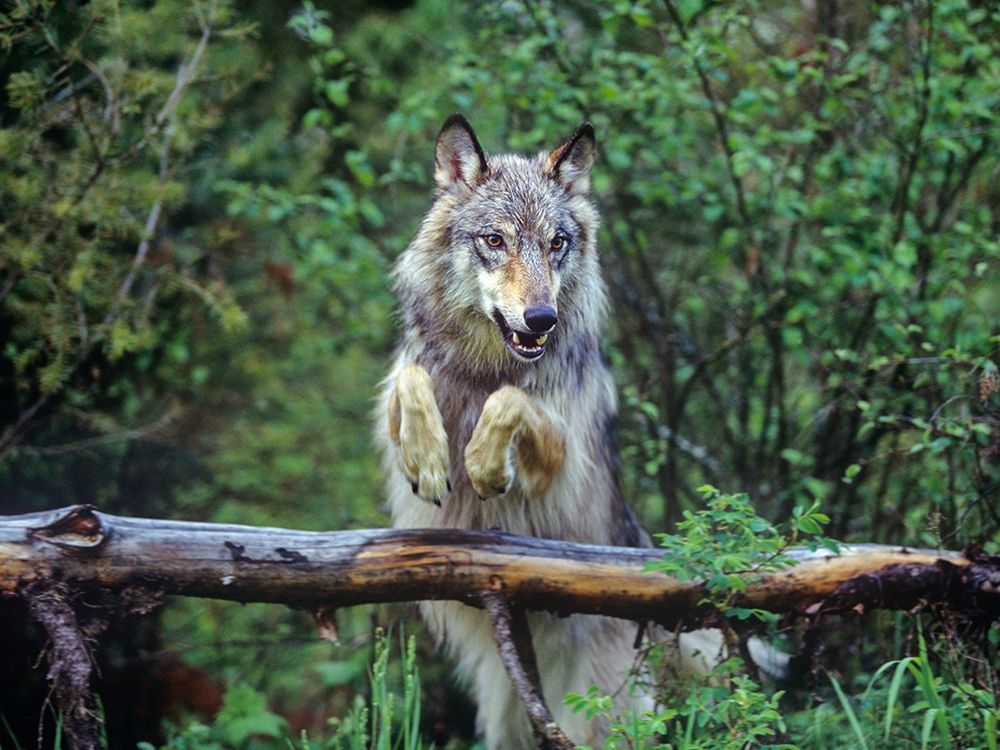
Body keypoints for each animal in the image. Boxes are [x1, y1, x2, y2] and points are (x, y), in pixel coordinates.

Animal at [376, 115, 718, 748]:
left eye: (556, 243)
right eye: (495, 241)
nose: (540, 320)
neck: (486, 366)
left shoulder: (560, 460)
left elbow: (513, 401)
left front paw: (483, 463)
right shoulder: (400, 389)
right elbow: (412, 380)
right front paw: (430, 459)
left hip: (598, 717)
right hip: (505, 708)